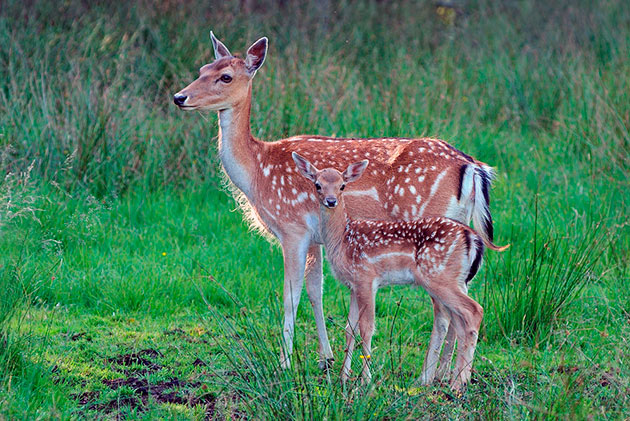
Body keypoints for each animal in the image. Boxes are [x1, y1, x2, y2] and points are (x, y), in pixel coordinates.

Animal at [296, 153, 508, 388]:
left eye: (342, 185)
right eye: (317, 185)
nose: (331, 201)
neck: (343, 239)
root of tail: (473, 239)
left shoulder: (366, 277)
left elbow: (367, 328)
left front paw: (365, 380)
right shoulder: (353, 284)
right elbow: (349, 329)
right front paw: (343, 377)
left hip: (440, 277)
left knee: (473, 311)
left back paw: (457, 383)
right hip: (454, 280)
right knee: (458, 320)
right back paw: (451, 379)